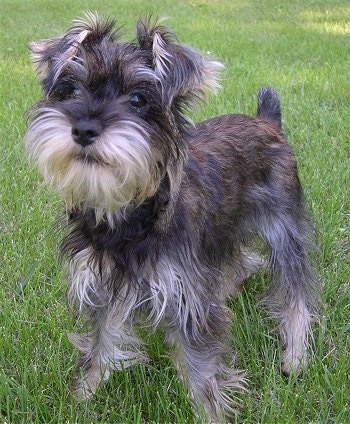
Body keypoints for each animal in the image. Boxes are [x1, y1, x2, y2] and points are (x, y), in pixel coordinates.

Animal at [24, 12, 318, 420]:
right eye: (69, 90)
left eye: (138, 98)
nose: (83, 128)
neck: (130, 216)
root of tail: (268, 122)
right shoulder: (103, 287)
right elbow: (101, 343)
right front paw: (83, 396)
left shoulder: (186, 300)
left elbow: (201, 372)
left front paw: (212, 415)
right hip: (222, 230)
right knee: (241, 260)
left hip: (283, 229)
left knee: (295, 292)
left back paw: (296, 355)